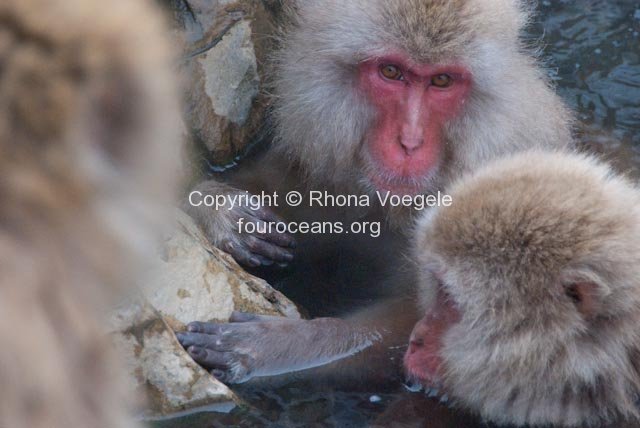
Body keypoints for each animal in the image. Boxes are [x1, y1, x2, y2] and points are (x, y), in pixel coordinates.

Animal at [176, 0, 576, 384]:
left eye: (442, 81)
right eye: (391, 72)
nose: (409, 143)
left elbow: (418, 328)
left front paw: (284, 346)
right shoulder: (312, 166)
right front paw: (225, 213)